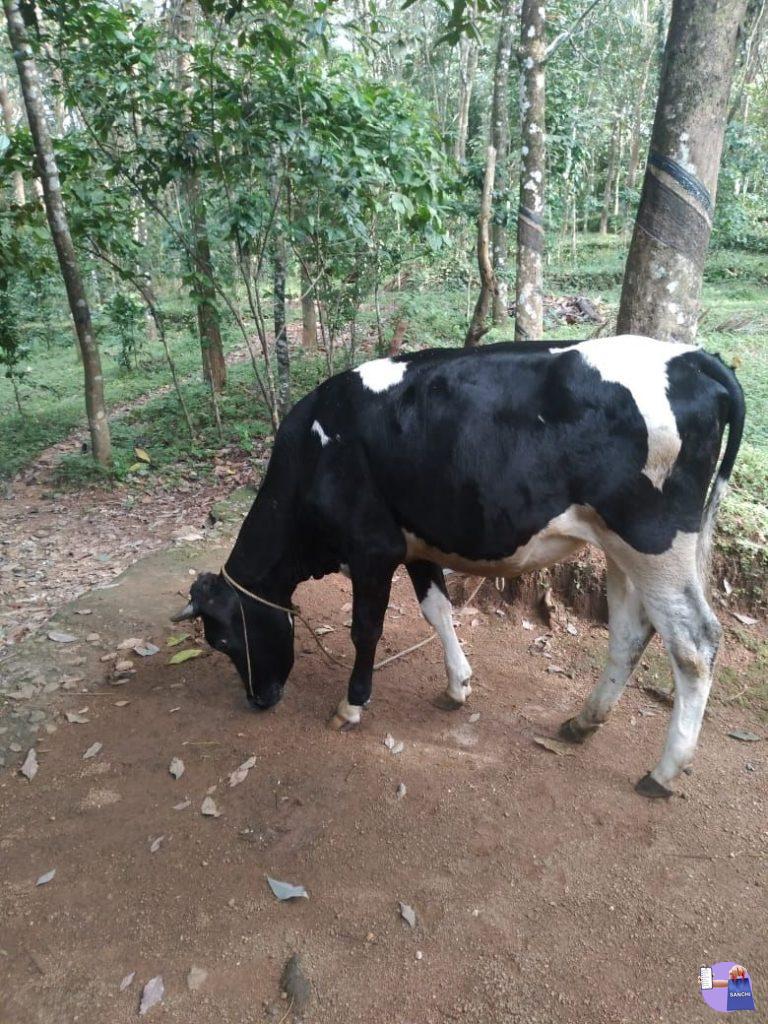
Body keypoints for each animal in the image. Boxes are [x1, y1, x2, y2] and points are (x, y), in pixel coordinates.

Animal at [172, 335, 744, 799]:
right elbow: (438, 612)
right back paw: (583, 722)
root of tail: (692, 356)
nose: (259, 699)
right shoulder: (416, 546)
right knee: (629, 632)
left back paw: (664, 771)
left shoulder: (372, 549)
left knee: (694, 643)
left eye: (223, 640)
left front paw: (352, 704)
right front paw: (457, 686)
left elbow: (366, 630)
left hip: (653, 539)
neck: (315, 456)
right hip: (620, 545)